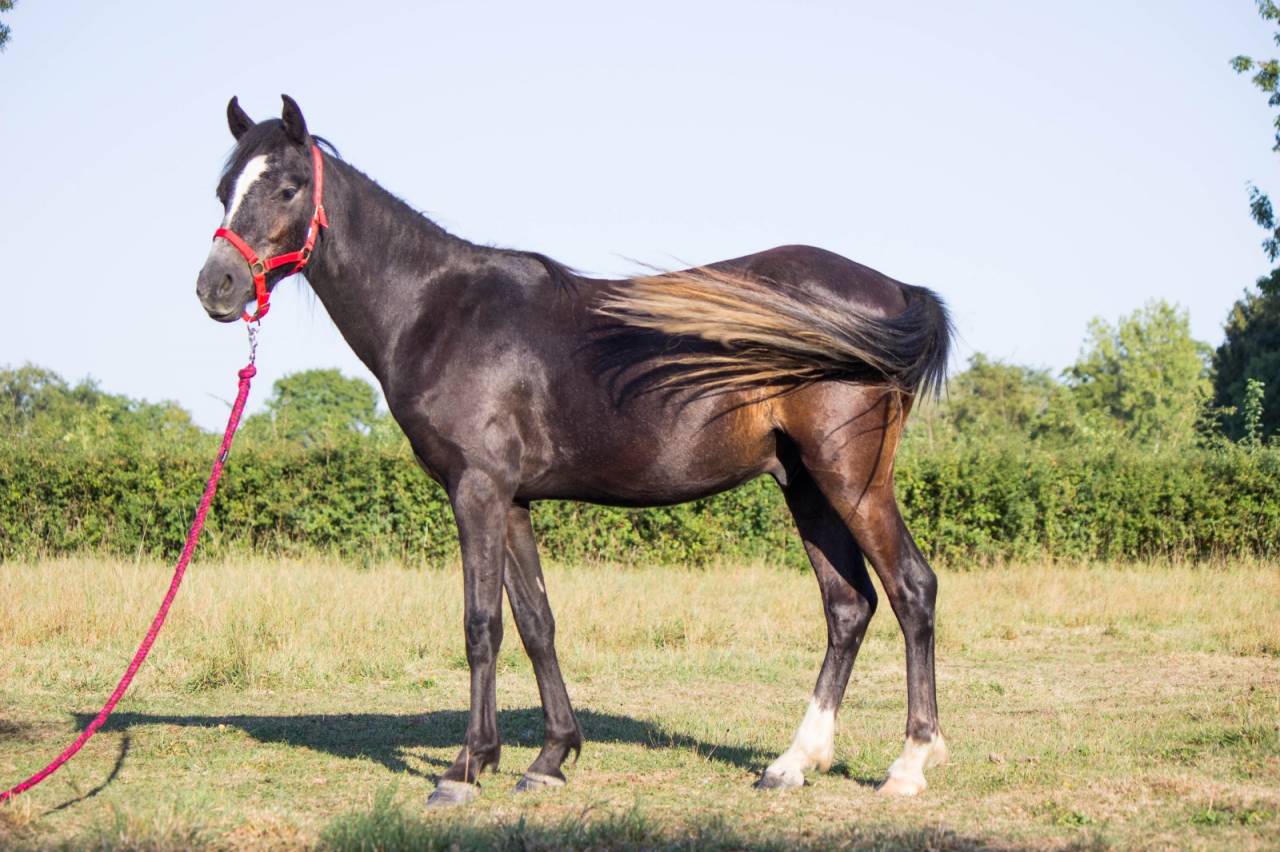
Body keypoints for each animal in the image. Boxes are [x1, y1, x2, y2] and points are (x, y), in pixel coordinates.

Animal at [195, 95, 953, 807]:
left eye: (288, 186)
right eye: (225, 186)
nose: (216, 287)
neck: (437, 310)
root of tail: (893, 290)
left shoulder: (476, 490)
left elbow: (481, 625)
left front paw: (464, 770)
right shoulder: (512, 501)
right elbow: (537, 622)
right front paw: (549, 758)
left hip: (850, 478)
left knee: (911, 588)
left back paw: (910, 765)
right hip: (804, 483)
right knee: (848, 605)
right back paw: (792, 763)